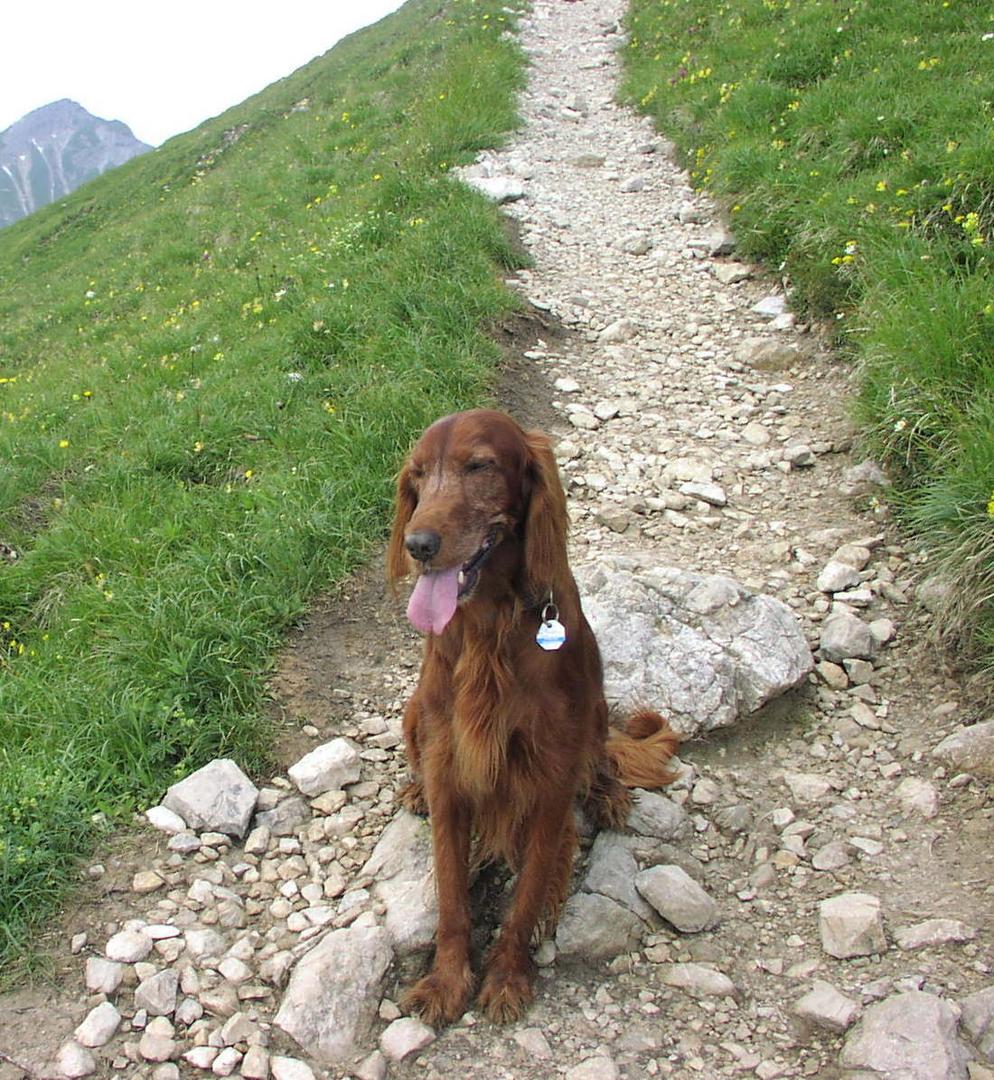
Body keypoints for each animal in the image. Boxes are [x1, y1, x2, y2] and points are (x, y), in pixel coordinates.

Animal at [384, 408, 678, 1023]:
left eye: (479, 466)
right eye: (417, 476)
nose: (418, 544)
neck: (490, 624)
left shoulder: (548, 780)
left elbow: (526, 899)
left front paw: (506, 979)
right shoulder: (451, 771)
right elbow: (451, 897)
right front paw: (446, 982)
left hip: (595, 704)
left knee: (602, 757)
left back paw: (609, 794)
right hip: (415, 710)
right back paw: (413, 790)